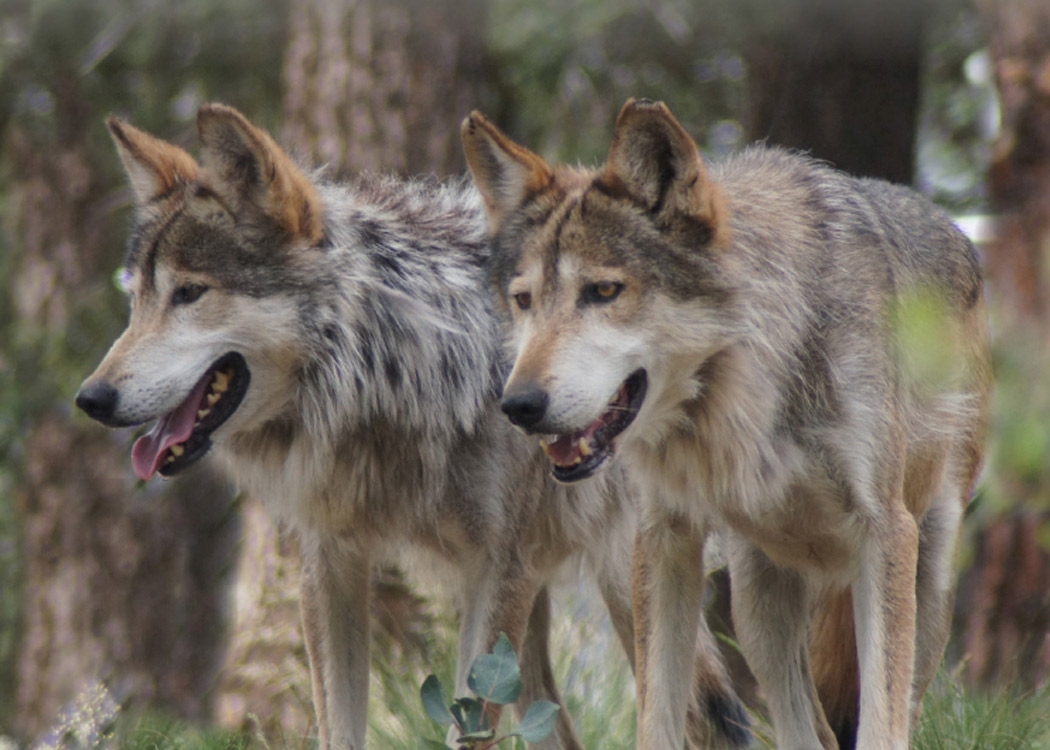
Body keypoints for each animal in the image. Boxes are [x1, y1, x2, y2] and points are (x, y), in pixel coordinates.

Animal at [74, 103, 751, 747]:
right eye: (135, 299)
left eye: (190, 293)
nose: (91, 398)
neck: (394, 376)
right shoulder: (331, 562)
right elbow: (339, 730)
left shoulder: (501, 568)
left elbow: (467, 730)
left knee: (711, 719)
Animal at [461, 100, 991, 747]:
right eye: (524, 300)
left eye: (604, 291)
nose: (519, 405)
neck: (738, 394)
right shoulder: (663, 536)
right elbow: (658, 714)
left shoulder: (883, 533)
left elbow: (880, 724)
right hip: (757, 605)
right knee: (805, 727)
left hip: (926, 583)